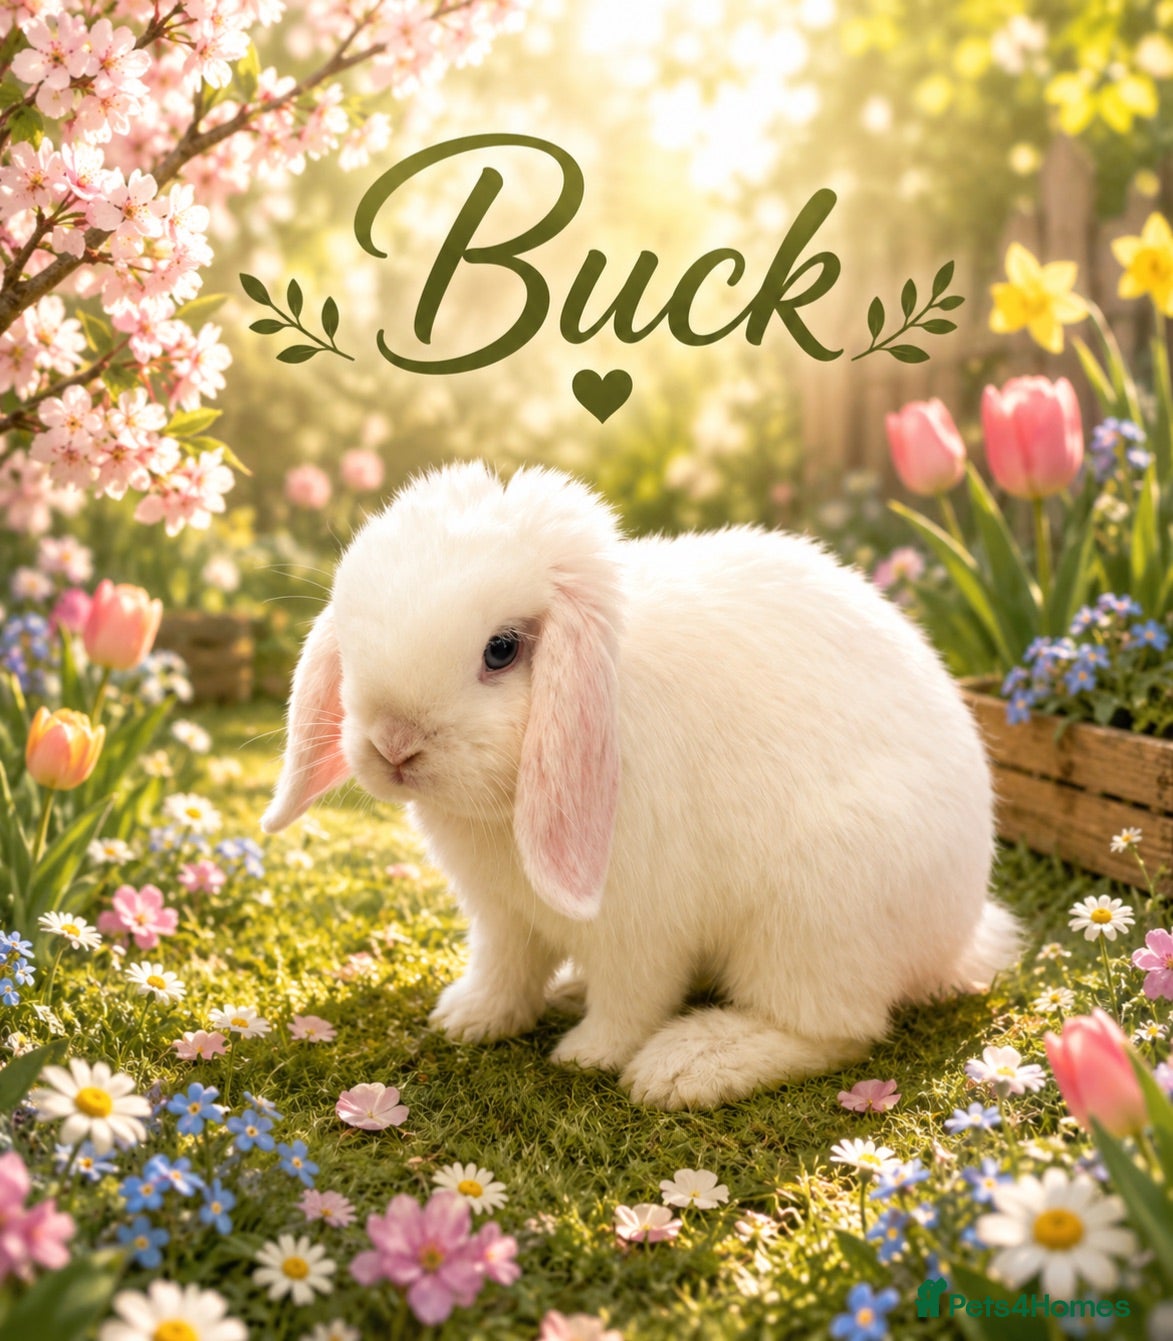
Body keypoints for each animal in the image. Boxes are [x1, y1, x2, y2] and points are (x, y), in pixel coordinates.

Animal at [262, 460, 1020, 1110]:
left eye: (501, 650)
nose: (394, 744)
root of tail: (956, 939)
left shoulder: (641, 924)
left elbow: (632, 999)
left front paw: (590, 1056)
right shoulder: (502, 916)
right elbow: (505, 968)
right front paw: (469, 1019)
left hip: (814, 920)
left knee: (833, 1030)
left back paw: (687, 1065)